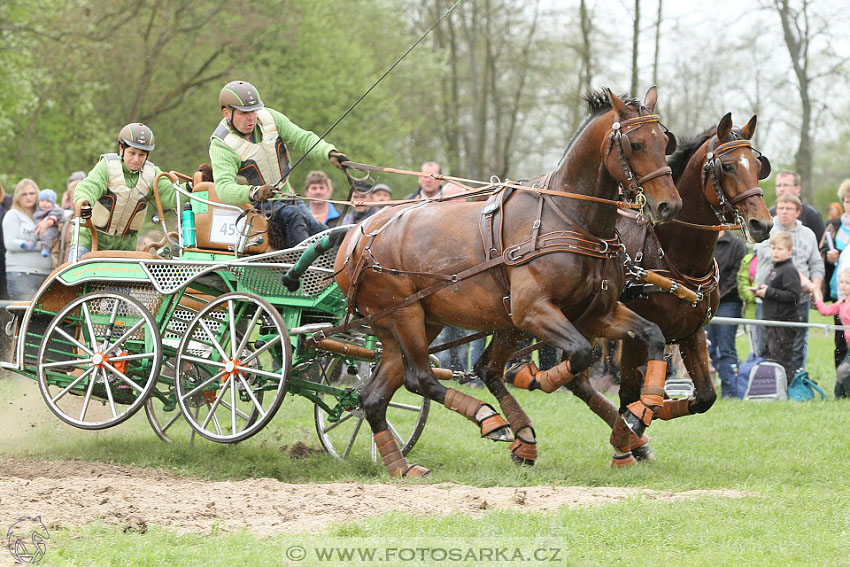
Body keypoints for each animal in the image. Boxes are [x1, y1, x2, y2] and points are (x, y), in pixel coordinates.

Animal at [334, 86, 680, 478]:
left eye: (664, 141)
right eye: (636, 144)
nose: (669, 205)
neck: (573, 218)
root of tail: (357, 235)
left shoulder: (598, 313)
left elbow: (652, 335)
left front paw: (641, 412)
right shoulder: (531, 311)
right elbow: (581, 354)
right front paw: (537, 380)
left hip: (412, 323)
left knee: (374, 397)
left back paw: (401, 466)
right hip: (404, 316)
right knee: (420, 377)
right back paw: (491, 420)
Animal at [510, 113, 768, 464]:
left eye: (757, 165)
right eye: (727, 167)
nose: (763, 224)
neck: (673, 256)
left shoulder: (691, 331)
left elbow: (705, 396)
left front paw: (644, 421)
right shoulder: (634, 335)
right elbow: (630, 392)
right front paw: (631, 429)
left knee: (579, 380)